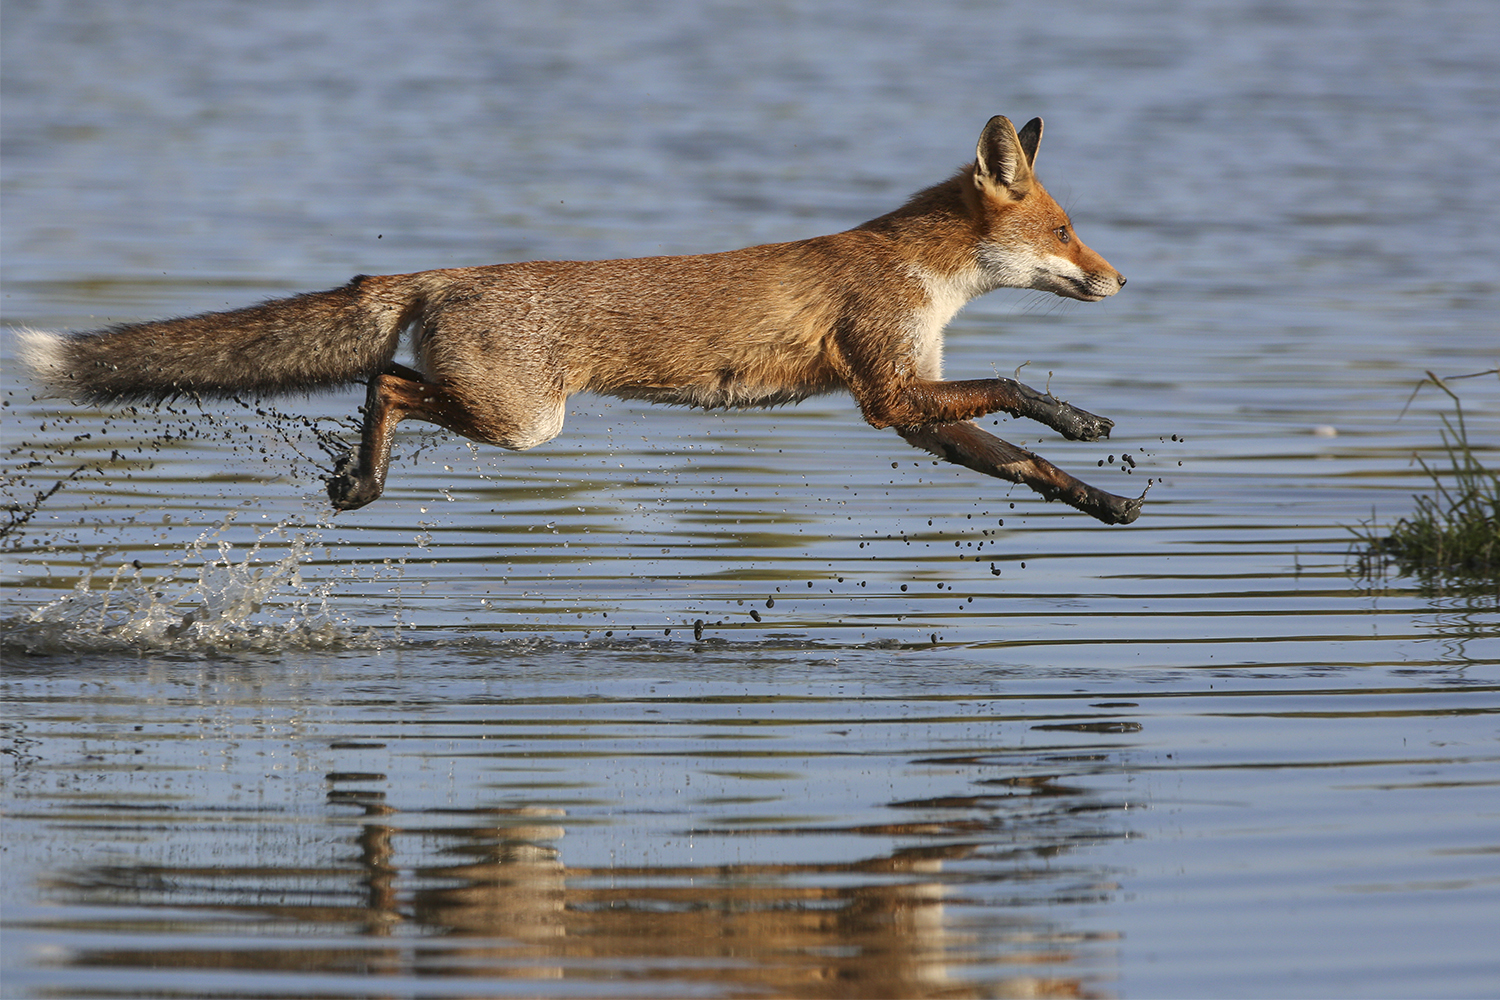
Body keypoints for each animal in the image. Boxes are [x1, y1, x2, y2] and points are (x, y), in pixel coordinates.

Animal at [20, 115, 1141, 524]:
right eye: (1067, 231)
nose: (1121, 279)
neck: (923, 272)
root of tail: (441, 272)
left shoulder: (910, 409)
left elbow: (1023, 462)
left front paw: (1101, 500)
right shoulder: (889, 390)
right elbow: (1014, 388)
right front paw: (1082, 418)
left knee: (384, 380)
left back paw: (357, 480)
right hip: (527, 424)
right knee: (385, 381)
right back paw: (363, 479)